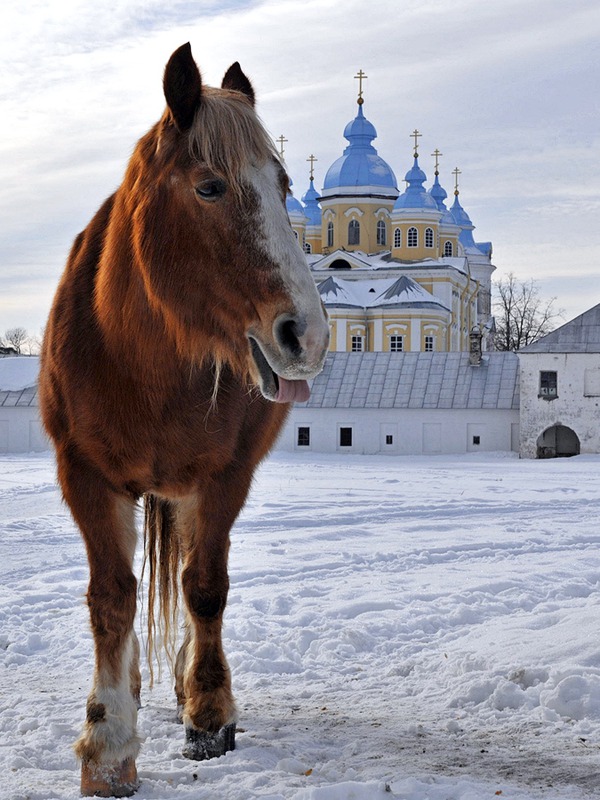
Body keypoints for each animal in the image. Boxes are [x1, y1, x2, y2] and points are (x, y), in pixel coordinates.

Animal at [38, 45, 328, 800]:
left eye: (284, 186)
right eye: (210, 187)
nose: (307, 334)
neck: (140, 358)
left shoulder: (224, 477)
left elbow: (205, 588)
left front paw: (208, 712)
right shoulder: (86, 474)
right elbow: (112, 598)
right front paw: (108, 744)